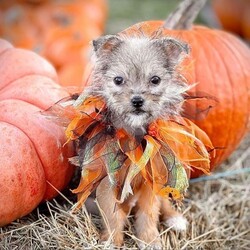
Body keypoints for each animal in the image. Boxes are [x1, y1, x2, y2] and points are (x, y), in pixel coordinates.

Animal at [85, 34, 188, 248]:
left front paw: (149, 239)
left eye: (155, 80)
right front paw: (112, 240)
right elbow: (112, 216)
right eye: (118, 80)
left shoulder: (151, 183)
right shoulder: (107, 184)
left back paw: (175, 218)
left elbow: (148, 214)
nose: (137, 100)